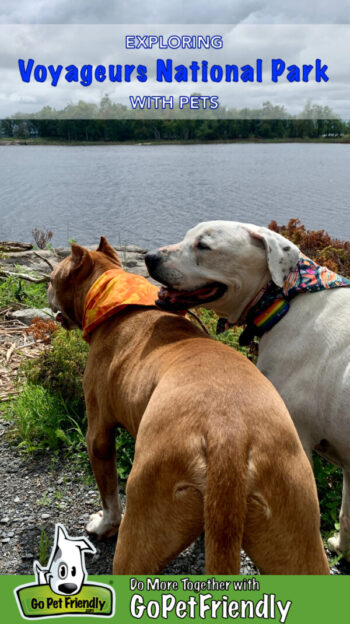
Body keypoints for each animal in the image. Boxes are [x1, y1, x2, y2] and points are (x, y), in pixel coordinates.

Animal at [47, 239, 330, 576]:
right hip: (296, 525)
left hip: (143, 522)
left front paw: (104, 525)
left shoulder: (98, 433)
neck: (118, 297)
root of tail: (228, 437)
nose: (47, 291)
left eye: (52, 279)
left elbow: (108, 492)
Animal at [144, 222, 350, 560]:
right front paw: (342, 548)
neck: (284, 301)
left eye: (204, 246)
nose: (149, 257)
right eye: (187, 236)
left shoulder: (297, 443)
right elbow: (347, 515)